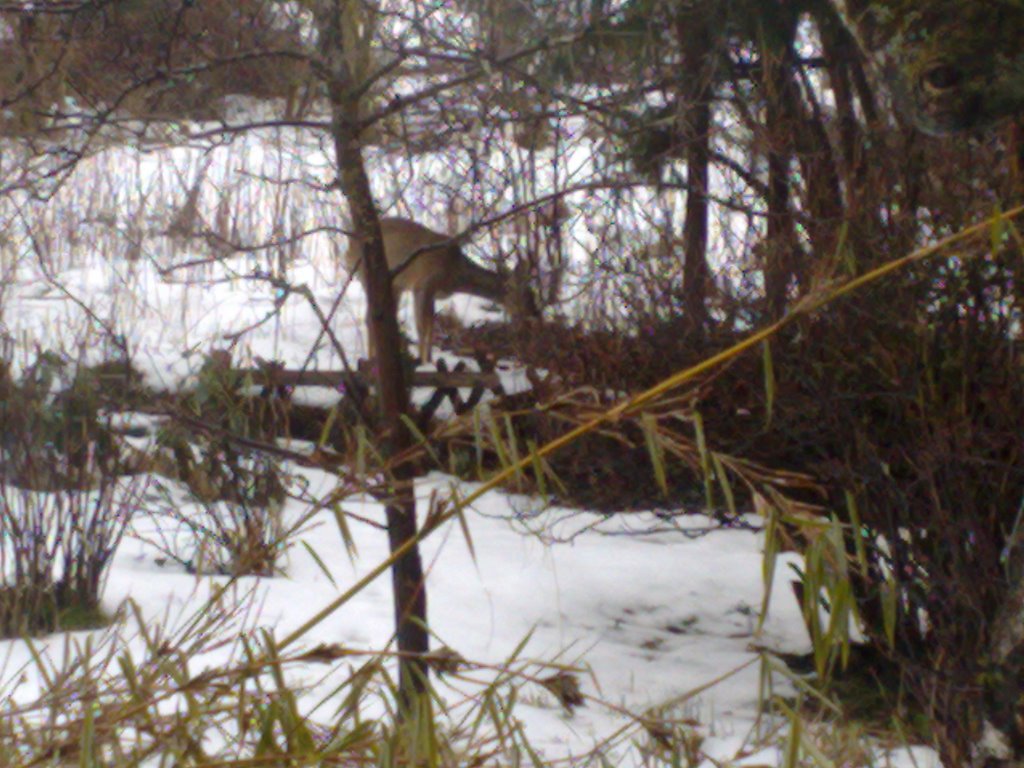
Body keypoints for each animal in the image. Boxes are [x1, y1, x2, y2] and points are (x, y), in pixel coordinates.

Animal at [346, 215, 532, 362]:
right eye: (521, 296)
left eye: (532, 294)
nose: (533, 313)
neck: (455, 273)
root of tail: (348, 249)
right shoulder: (422, 284)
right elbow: (422, 327)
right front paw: (423, 361)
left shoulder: (433, 292)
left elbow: (431, 325)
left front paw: (429, 359)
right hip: (368, 277)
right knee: (369, 318)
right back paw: (371, 359)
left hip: (395, 285)